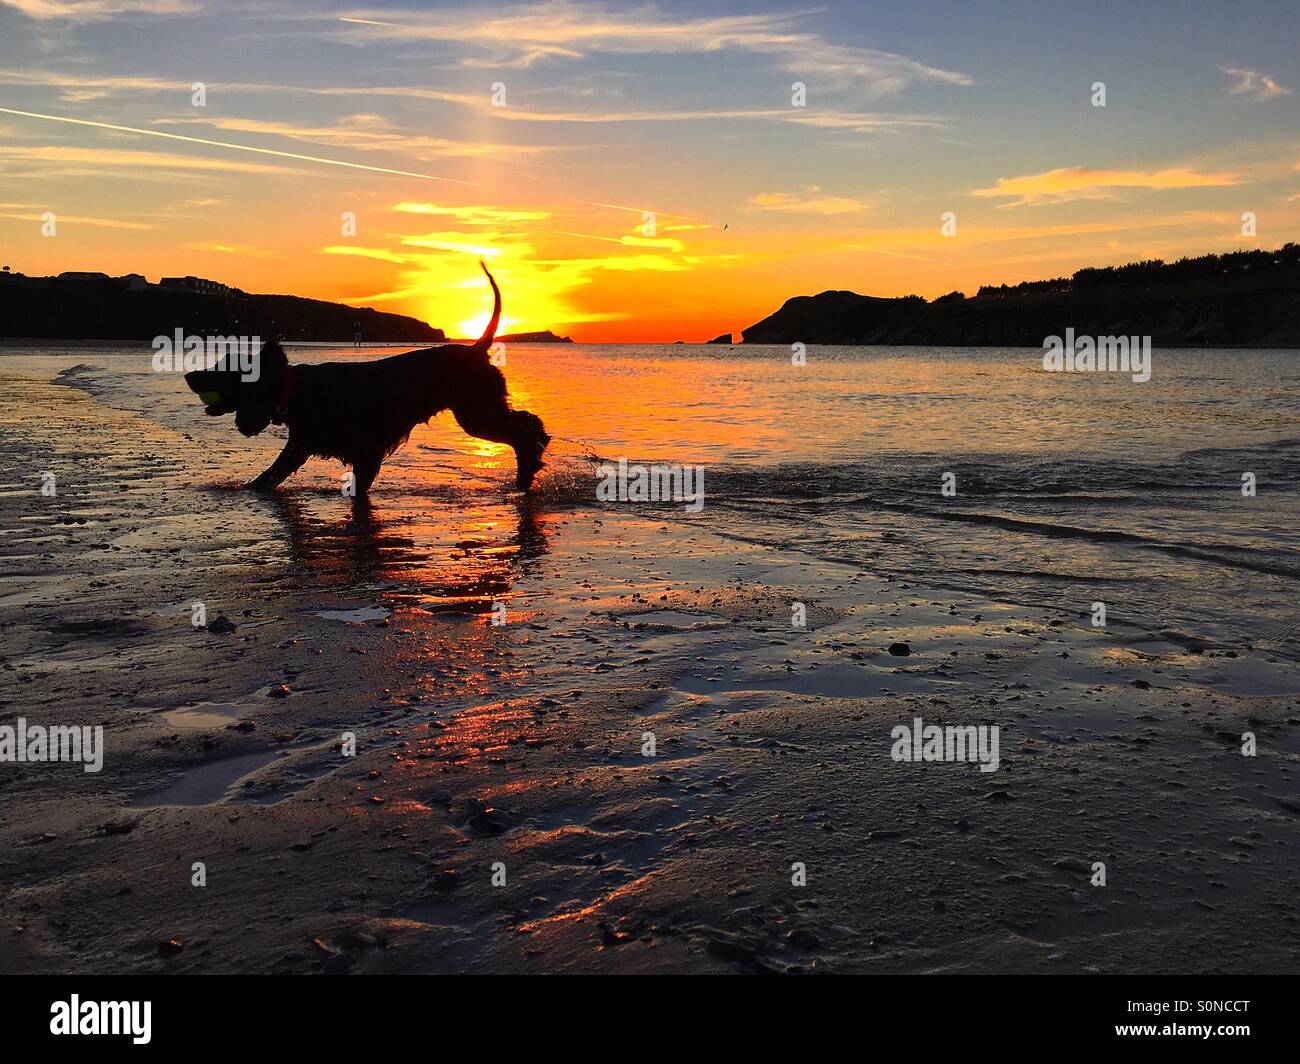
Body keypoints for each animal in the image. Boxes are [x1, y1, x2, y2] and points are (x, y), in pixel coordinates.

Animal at [183, 265, 548, 496]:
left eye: (224, 367)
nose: (189, 374)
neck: (295, 389)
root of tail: (477, 348)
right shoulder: (303, 446)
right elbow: (270, 475)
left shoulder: (364, 450)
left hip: (477, 413)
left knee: (526, 428)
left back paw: (527, 470)